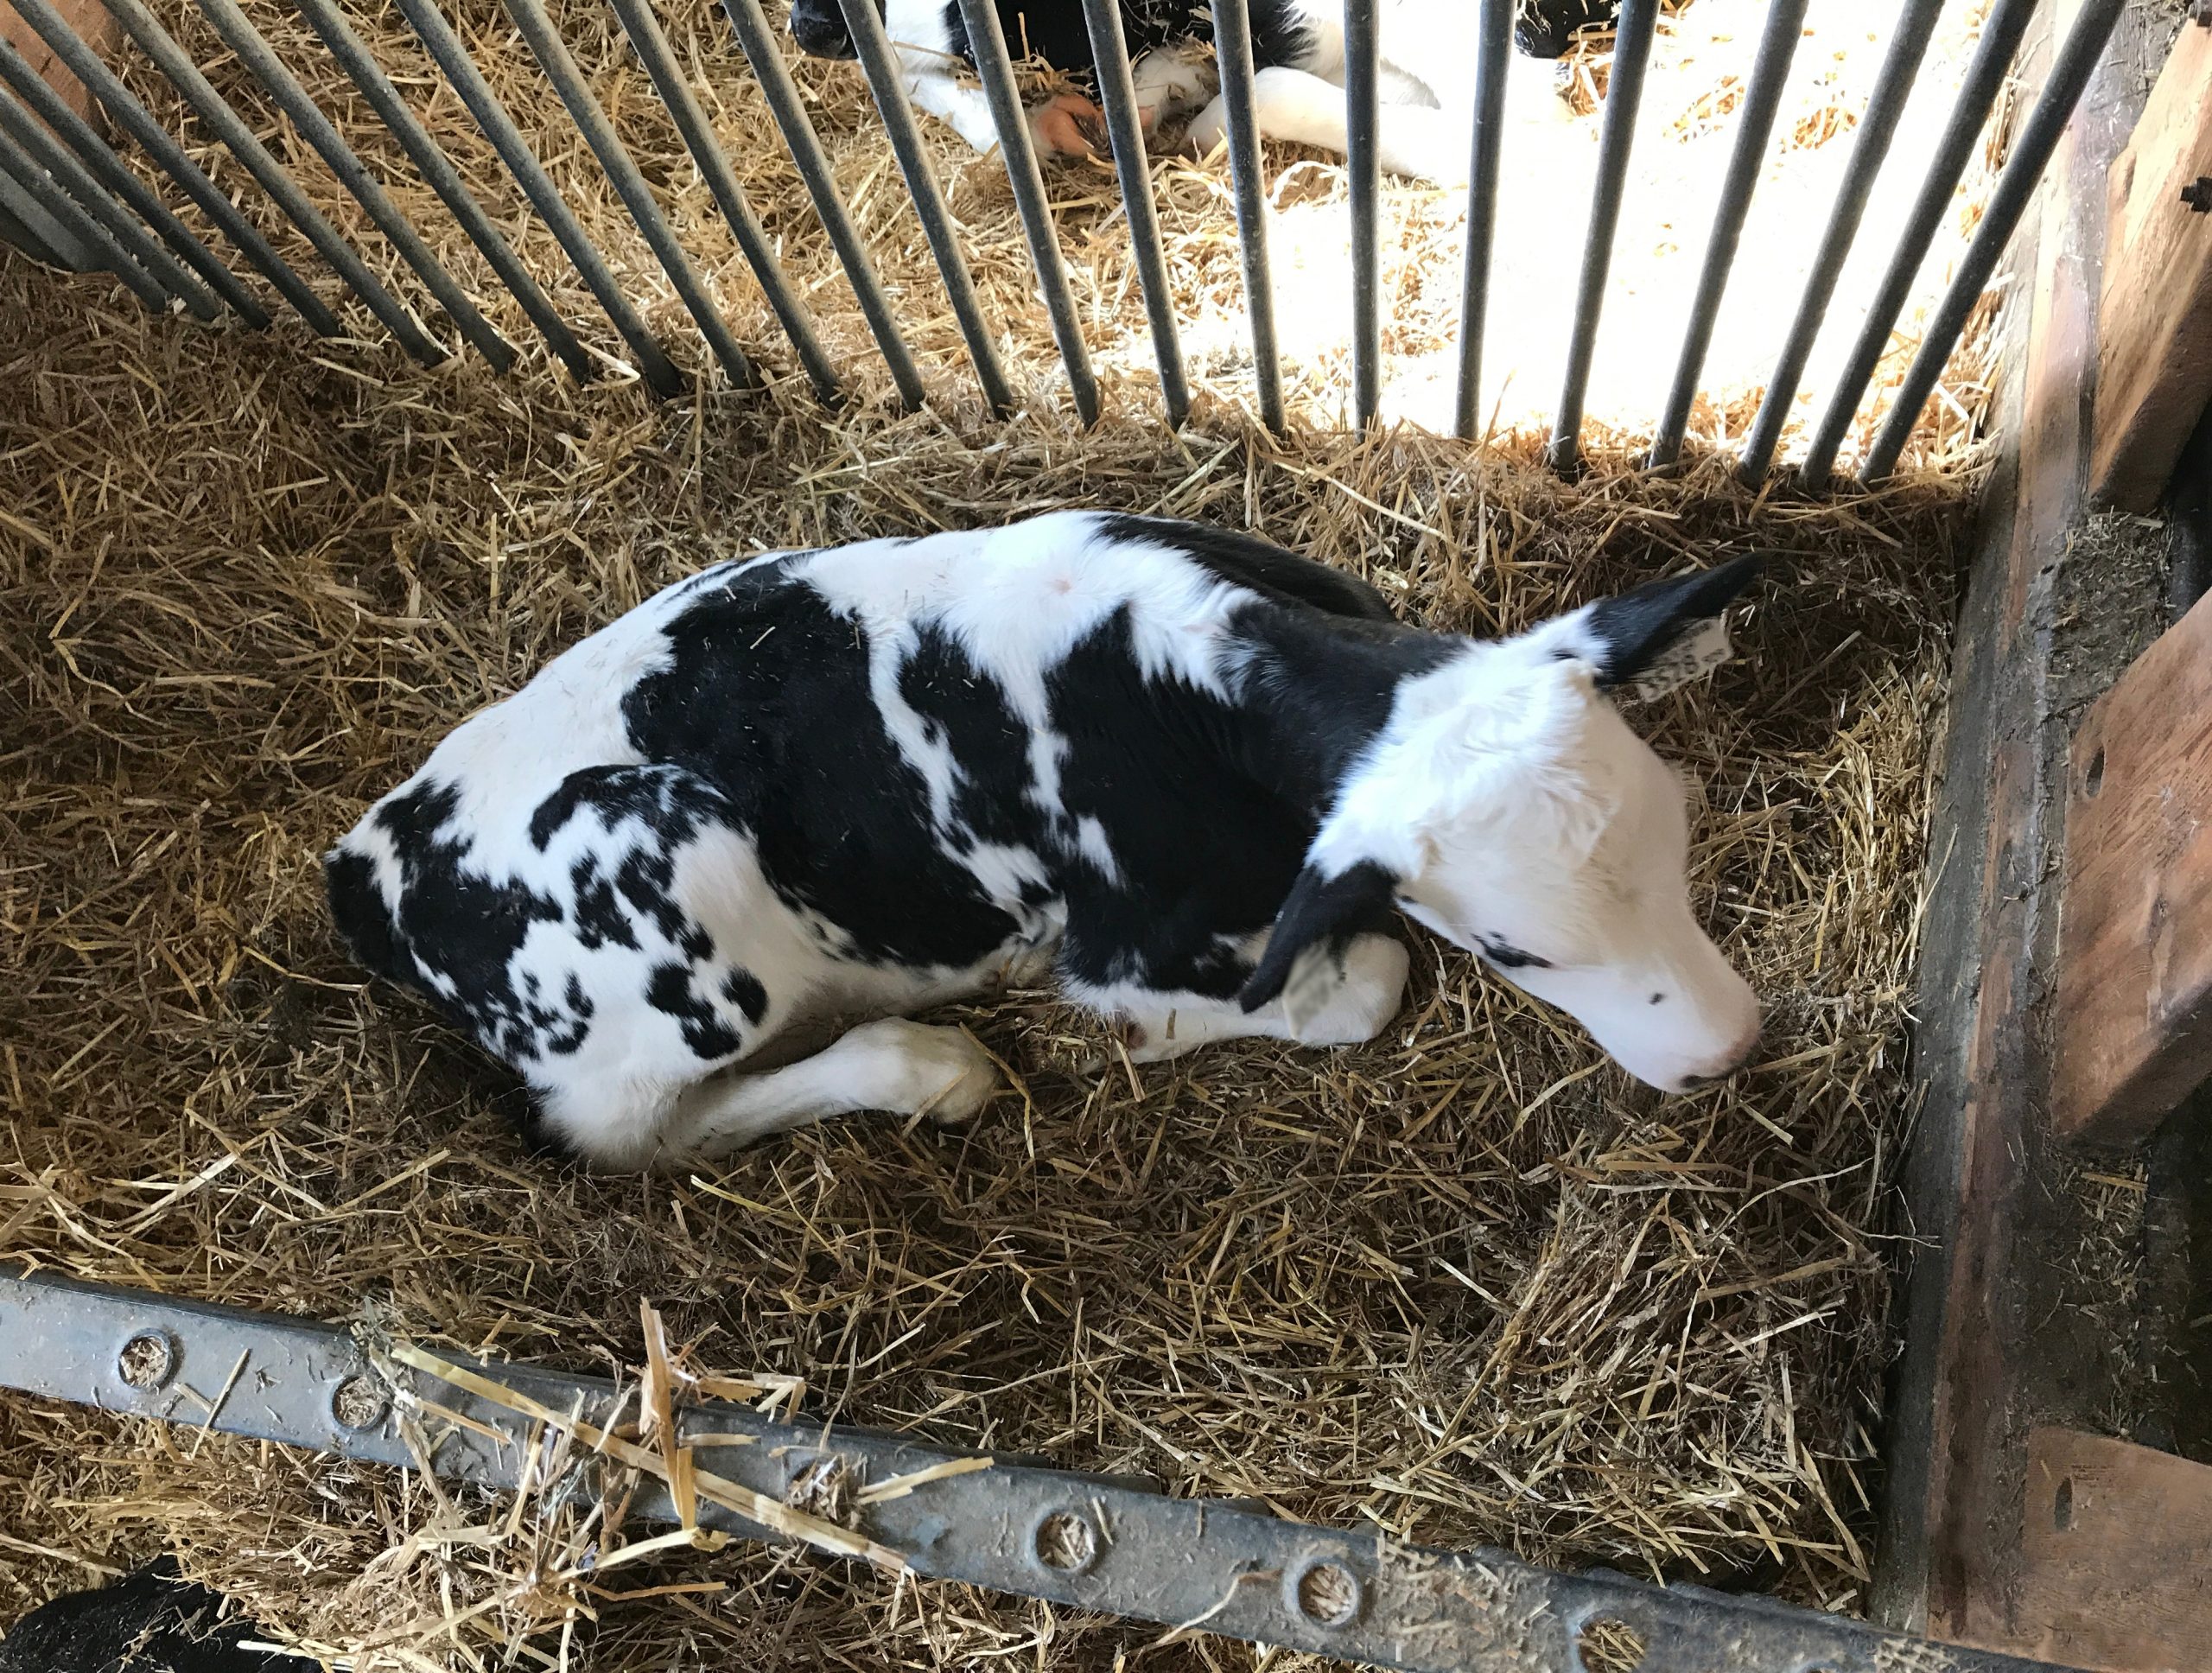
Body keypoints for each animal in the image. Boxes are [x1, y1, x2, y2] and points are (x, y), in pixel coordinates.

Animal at [326, 512, 1763, 1172]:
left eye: (1681, 847)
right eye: (1519, 954)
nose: (1728, 1048)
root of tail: (368, 863)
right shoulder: (1125, 936)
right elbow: (1355, 985)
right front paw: (1160, 1026)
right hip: (667, 860)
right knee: (619, 1133)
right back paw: (923, 1066)